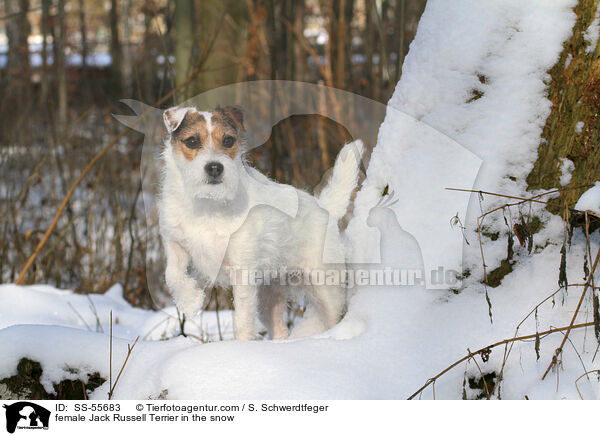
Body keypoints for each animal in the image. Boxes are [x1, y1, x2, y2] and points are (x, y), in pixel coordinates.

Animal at [158, 106, 360, 340]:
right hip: (267, 298)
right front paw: (190, 302)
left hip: (326, 289)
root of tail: (325, 207)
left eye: (228, 140)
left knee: (334, 317)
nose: (215, 167)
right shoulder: (175, 244)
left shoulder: (242, 272)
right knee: (280, 329)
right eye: (192, 141)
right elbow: (172, 274)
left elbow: (243, 320)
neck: (208, 203)